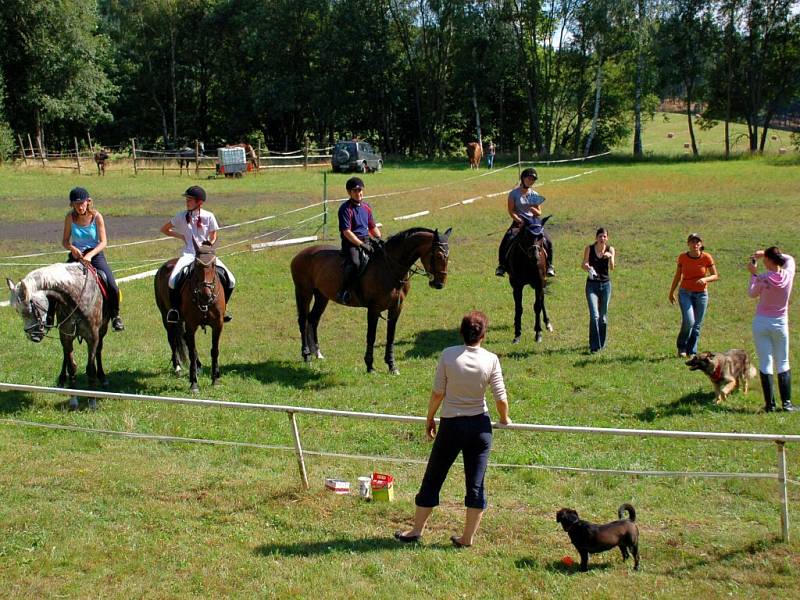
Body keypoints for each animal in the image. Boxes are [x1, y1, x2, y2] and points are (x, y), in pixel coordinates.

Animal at [7, 262, 111, 408]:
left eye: (30, 309)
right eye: (18, 312)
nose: (33, 336)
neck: (77, 298)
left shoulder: (92, 337)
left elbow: (91, 368)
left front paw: (92, 401)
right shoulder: (66, 337)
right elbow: (71, 366)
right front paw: (73, 400)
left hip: (102, 330)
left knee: (99, 351)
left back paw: (102, 377)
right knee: (65, 356)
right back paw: (62, 379)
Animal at [153, 241, 225, 392]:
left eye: (213, 264)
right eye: (197, 265)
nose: (205, 294)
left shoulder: (218, 325)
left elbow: (214, 350)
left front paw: (215, 379)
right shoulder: (191, 325)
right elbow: (191, 352)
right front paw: (194, 384)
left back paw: (198, 367)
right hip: (167, 318)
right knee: (173, 340)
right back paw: (178, 368)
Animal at [290, 226, 450, 372]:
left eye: (448, 256)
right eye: (438, 256)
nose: (439, 284)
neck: (390, 268)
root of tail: (300, 254)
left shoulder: (396, 308)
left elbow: (390, 336)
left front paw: (392, 365)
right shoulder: (374, 309)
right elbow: (371, 336)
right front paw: (369, 366)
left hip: (322, 296)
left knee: (313, 319)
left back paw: (317, 353)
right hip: (304, 292)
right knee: (303, 320)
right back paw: (307, 355)